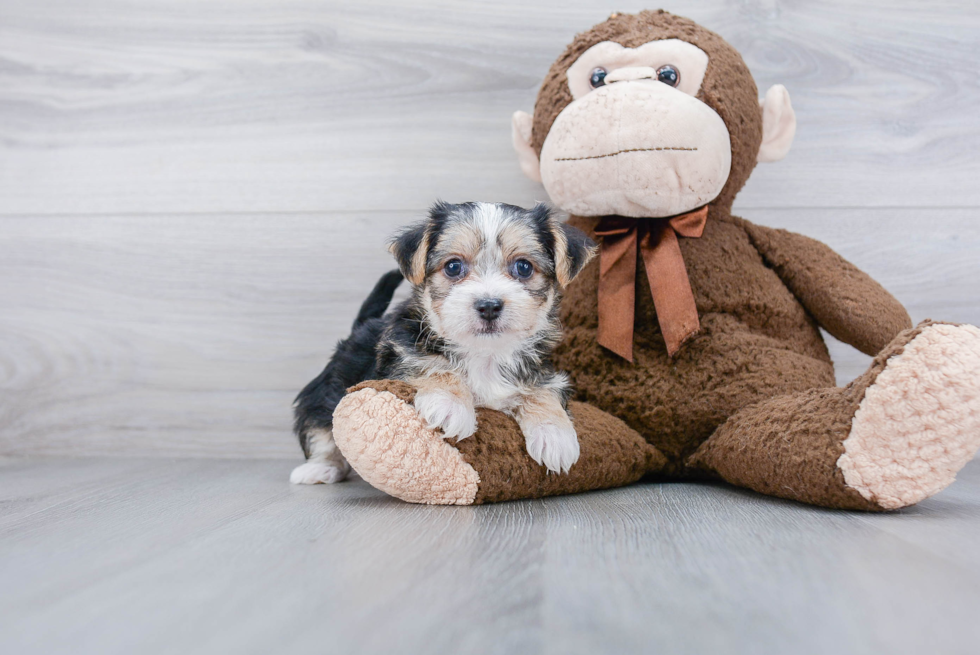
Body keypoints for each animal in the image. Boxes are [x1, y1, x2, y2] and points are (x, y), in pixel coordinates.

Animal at [290, 202, 596, 484]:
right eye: (453, 266)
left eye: (523, 267)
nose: (489, 305)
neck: (484, 355)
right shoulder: (401, 350)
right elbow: (432, 363)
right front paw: (450, 404)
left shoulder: (541, 371)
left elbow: (542, 390)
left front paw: (554, 434)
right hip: (328, 389)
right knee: (321, 425)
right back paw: (321, 468)